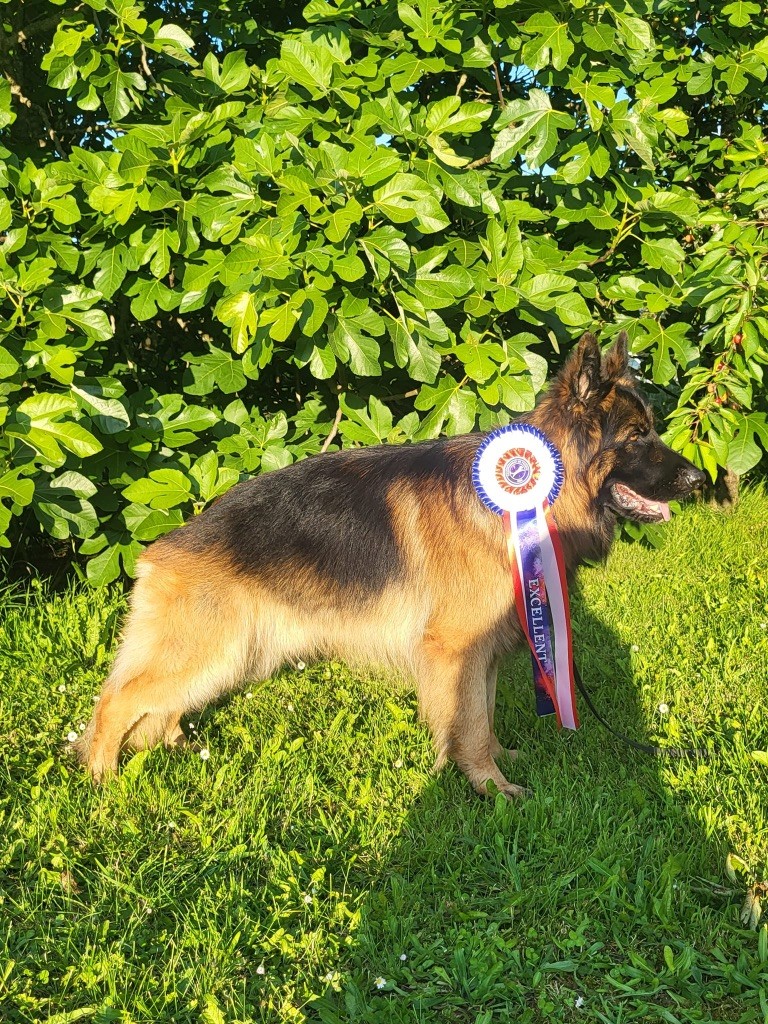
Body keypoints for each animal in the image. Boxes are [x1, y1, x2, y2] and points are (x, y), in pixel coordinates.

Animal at [75, 331, 708, 794]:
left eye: (653, 431)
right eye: (637, 437)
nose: (701, 479)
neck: (527, 498)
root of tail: (161, 549)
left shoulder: (483, 652)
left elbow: (483, 715)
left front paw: (497, 761)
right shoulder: (454, 650)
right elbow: (468, 723)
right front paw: (491, 787)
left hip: (233, 655)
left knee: (156, 708)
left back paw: (176, 750)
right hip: (212, 648)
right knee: (115, 701)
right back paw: (102, 781)